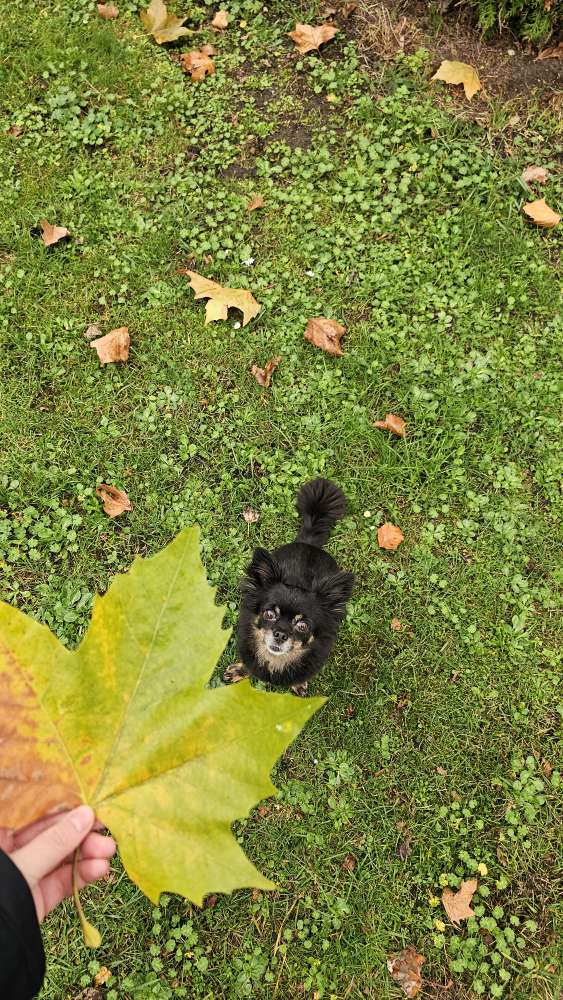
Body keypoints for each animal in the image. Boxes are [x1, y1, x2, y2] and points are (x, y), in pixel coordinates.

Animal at [224, 476, 352, 696]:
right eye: (269, 614)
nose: (280, 634)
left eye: (302, 626)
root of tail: (310, 543)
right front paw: (238, 672)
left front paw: (298, 684)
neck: (276, 660)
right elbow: (248, 665)